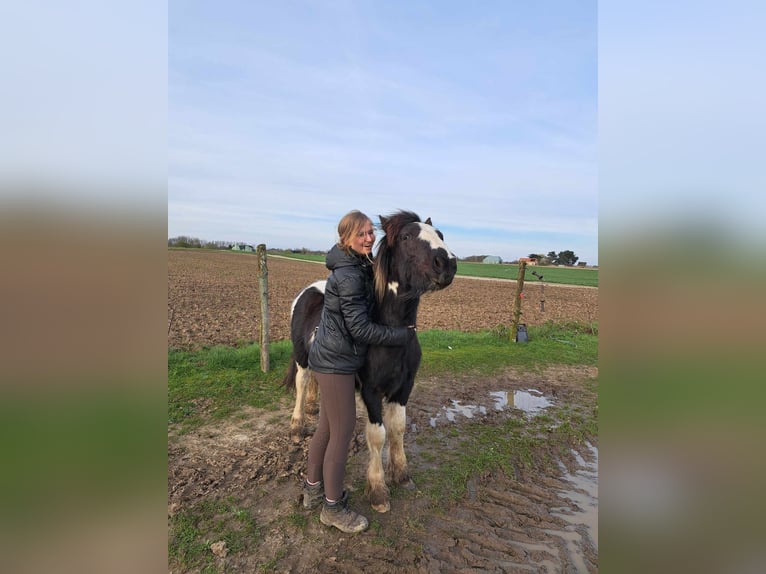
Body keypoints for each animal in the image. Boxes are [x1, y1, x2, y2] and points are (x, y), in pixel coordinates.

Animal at [282, 210, 457, 512]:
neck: (388, 331)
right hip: (302, 360)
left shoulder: (403, 389)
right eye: (407, 237)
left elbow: (398, 429)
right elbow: (378, 435)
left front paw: (401, 474)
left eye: (441, 235)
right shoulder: (371, 392)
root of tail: (310, 290)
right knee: (302, 384)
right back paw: (297, 426)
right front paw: (378, 491)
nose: (446, 263)